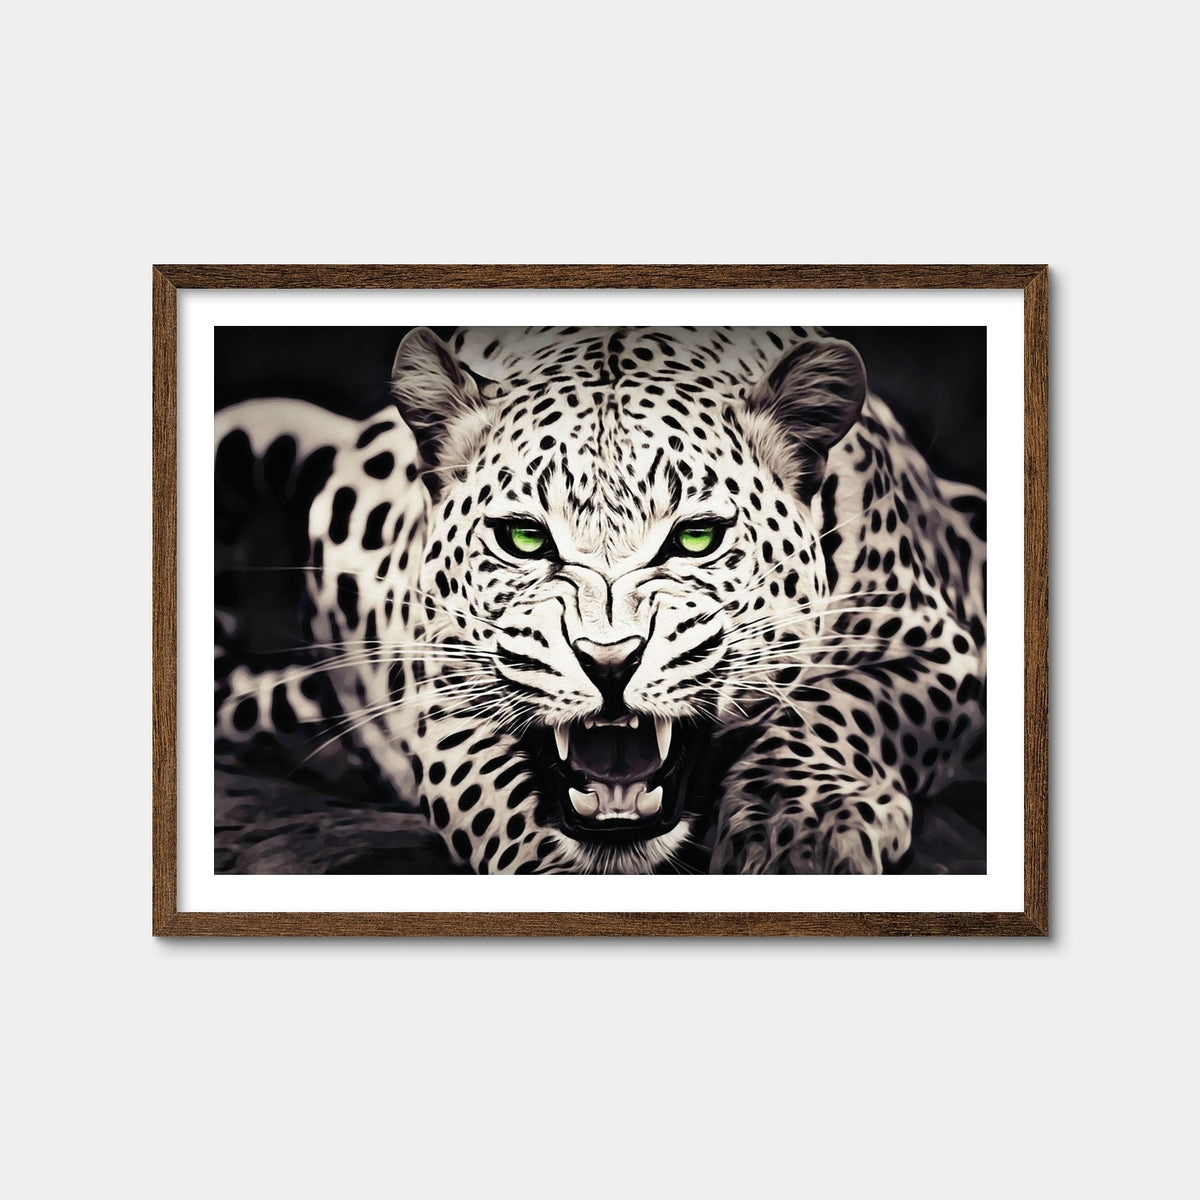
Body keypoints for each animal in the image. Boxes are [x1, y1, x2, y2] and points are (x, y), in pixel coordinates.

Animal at [214, 326, 986, 874]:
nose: (609, 662)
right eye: (525, 538)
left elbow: (841, 705)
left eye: (696, 537)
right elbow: (495, 799)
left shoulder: (936, 651)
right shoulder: (447, 697)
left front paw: (801, 831)